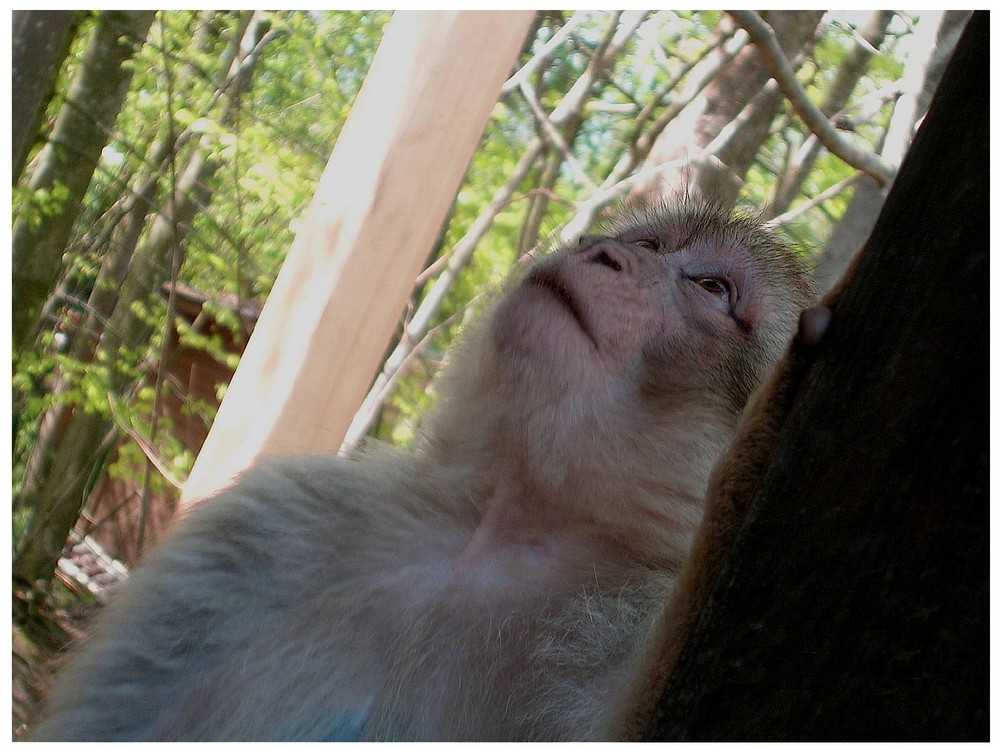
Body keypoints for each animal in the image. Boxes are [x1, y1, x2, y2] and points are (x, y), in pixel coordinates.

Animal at [33, 203, 820, 744]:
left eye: (713, 288)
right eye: (649, 245)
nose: (601, 251)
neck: (495, 535)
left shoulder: (610, 629)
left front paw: (761, 433)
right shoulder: (271, 528)